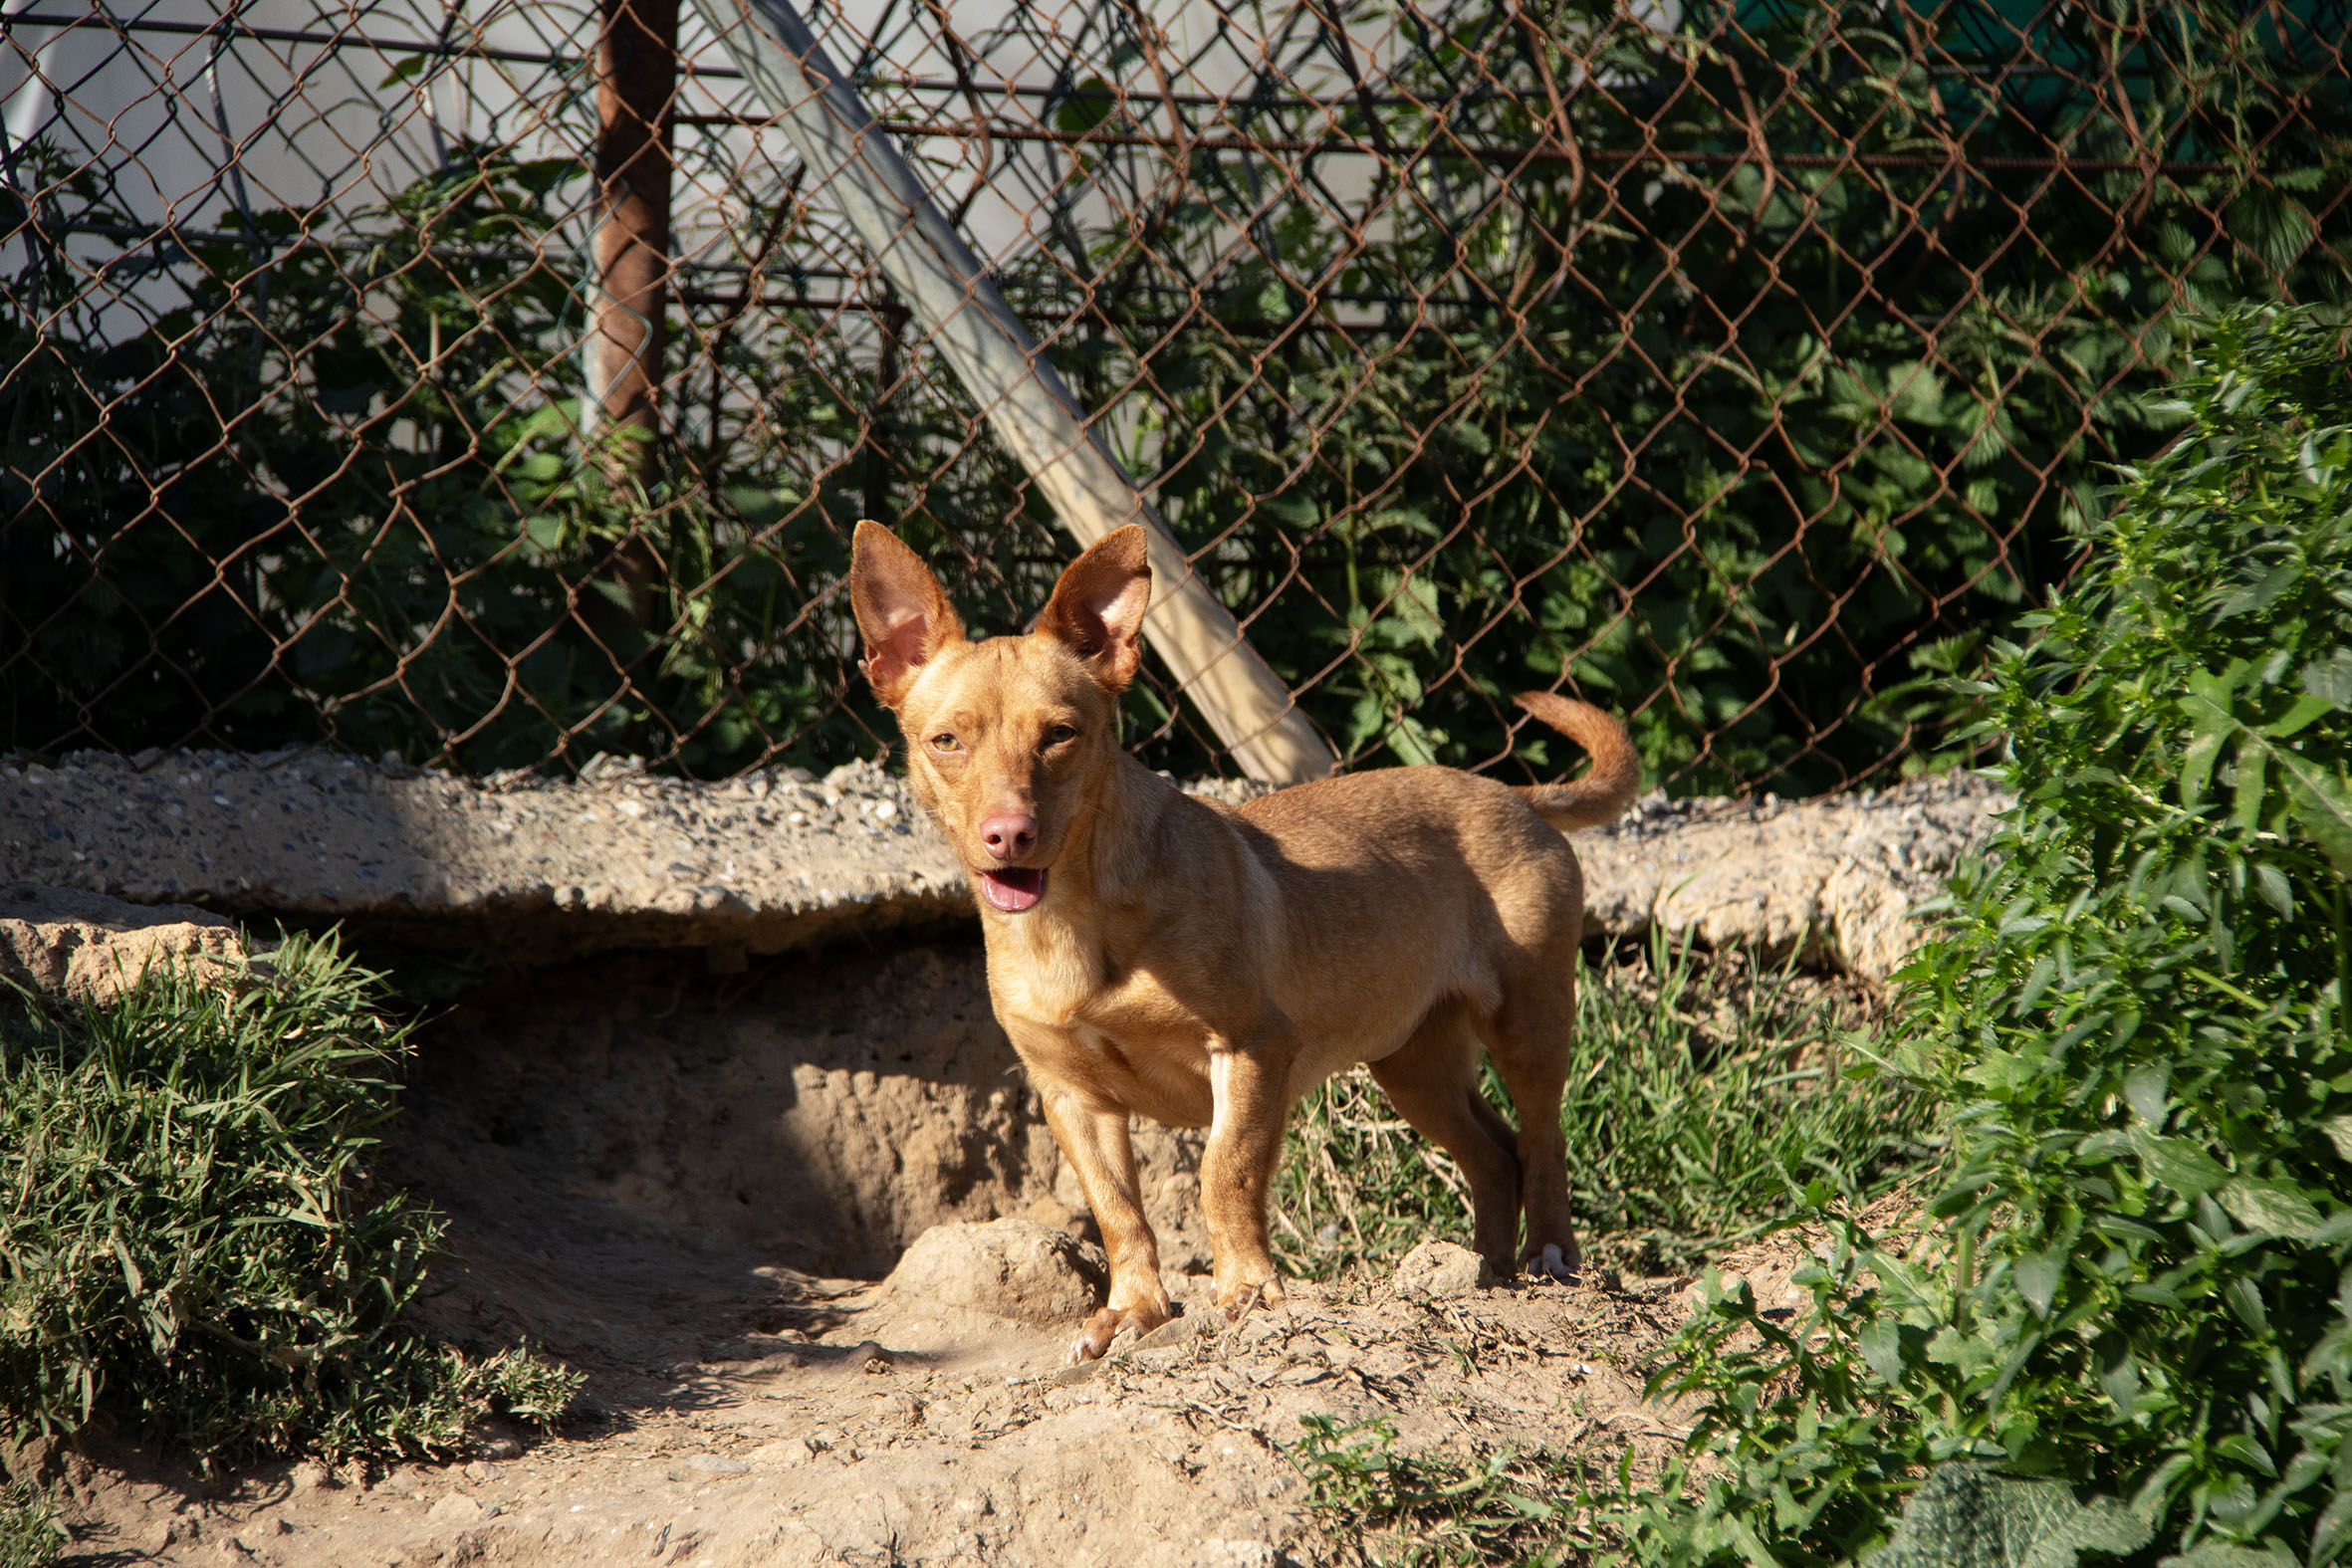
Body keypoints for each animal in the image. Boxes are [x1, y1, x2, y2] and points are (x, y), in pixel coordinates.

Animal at [850, 520, 1640, 1362]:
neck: (1073, 924)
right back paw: (1487, 1275)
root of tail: (1515, 796)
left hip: (1527, 1025)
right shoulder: (1071, 1095)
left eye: (1061, 735)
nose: (1009, 833)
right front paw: (1134, 1307)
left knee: (1543, 1139)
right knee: (1495, 1155)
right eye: (946, 740)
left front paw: (1247, 1291)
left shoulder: (1253, 1050)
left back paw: (1548, 1256)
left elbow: (1221, 1175)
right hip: (1414, 1065)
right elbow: (1117, 1210)